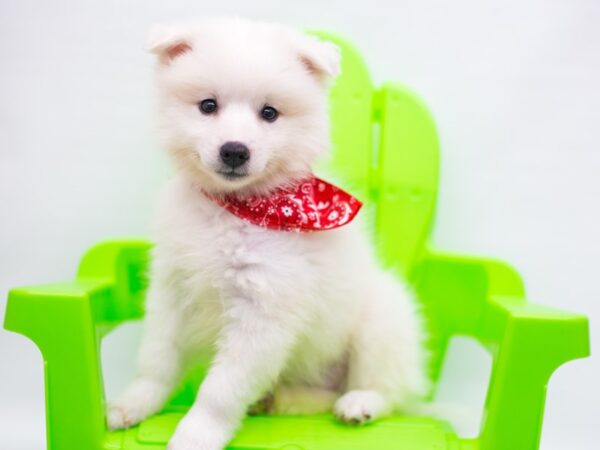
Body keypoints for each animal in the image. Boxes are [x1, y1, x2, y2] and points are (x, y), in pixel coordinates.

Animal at [106, 17, 426, 450]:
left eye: (270, 113)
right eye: (208, 106)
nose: (234, 150)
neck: (234, 208)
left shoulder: (264, 311)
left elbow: (219, 390)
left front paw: (195, 435)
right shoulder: (172, 290)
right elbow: (157, 359)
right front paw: (135, 402)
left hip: (381, 324)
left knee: (385, 388)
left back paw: (360, 403)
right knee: (321, 393)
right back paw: (280, 399)